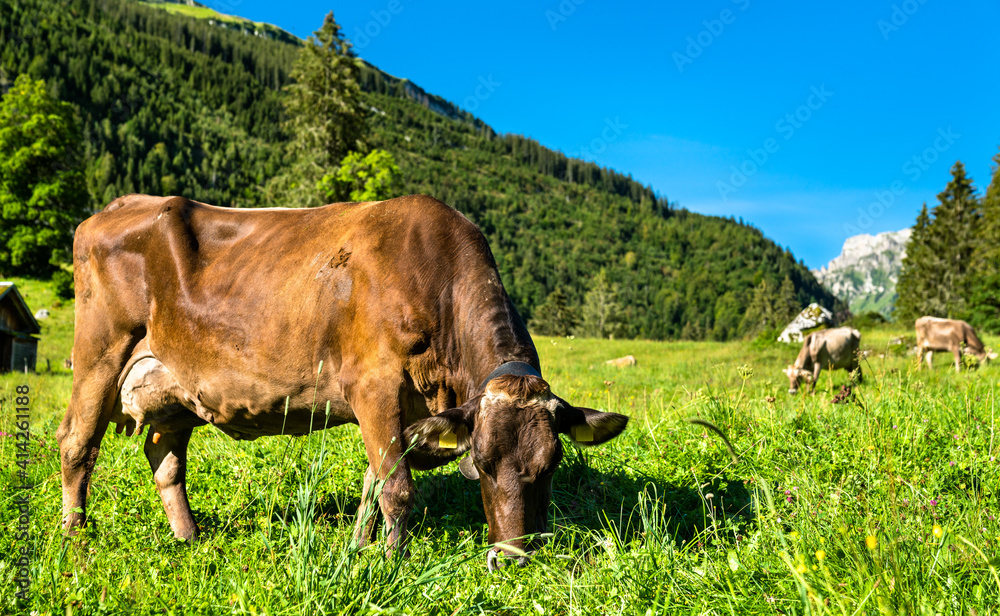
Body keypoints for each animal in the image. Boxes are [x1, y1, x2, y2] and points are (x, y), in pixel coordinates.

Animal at [56, 195, 624, 572]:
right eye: (481, 464)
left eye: (550, 466)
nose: (511, 559)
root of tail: (118, 205)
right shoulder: (373, 386)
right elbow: (396, 487)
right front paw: (394, 564)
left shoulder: (405, 410)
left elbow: (374, 483)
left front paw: (359, 548)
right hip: (100, 352)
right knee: (77, 443)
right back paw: (75, 541)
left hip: (174, 386)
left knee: (164, 458)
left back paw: (189, 539)